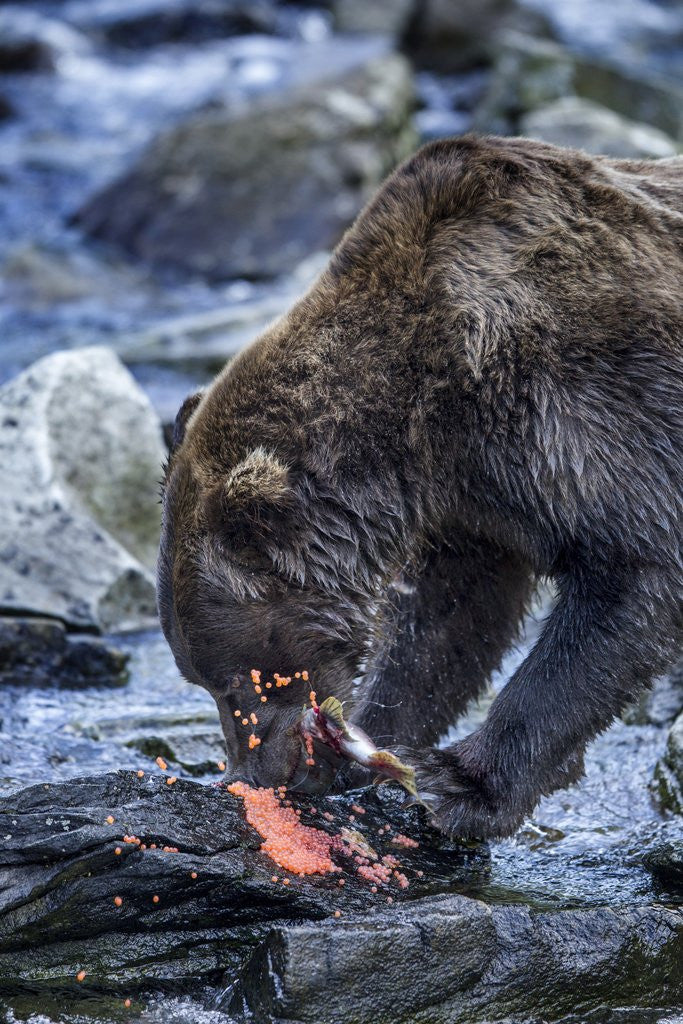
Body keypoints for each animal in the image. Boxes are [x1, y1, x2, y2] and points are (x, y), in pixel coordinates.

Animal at [158, 135, 683, 839]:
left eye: (238, 683)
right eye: (200, 681)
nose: (255, 773)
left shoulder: (590, 410)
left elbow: (632, 574)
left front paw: (458, 784)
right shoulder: (477, 502)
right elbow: (447, 623)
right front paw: (374, 743)